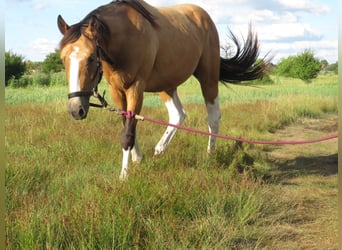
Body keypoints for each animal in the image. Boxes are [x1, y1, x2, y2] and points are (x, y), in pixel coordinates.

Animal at [56, 0, 270, 180]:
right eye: (63, 59)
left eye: (91, 57)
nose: (75, 109)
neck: (126, 37)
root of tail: (204, 17)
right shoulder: (117, 90)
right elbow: (128, 125)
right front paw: (138, 159)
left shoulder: (136, 88)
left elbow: (127, 134)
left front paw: (124, 176)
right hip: (166, 85)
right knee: (178, 114)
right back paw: (160, 148)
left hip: (208, 78)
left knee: (213, 117)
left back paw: (209, 155)